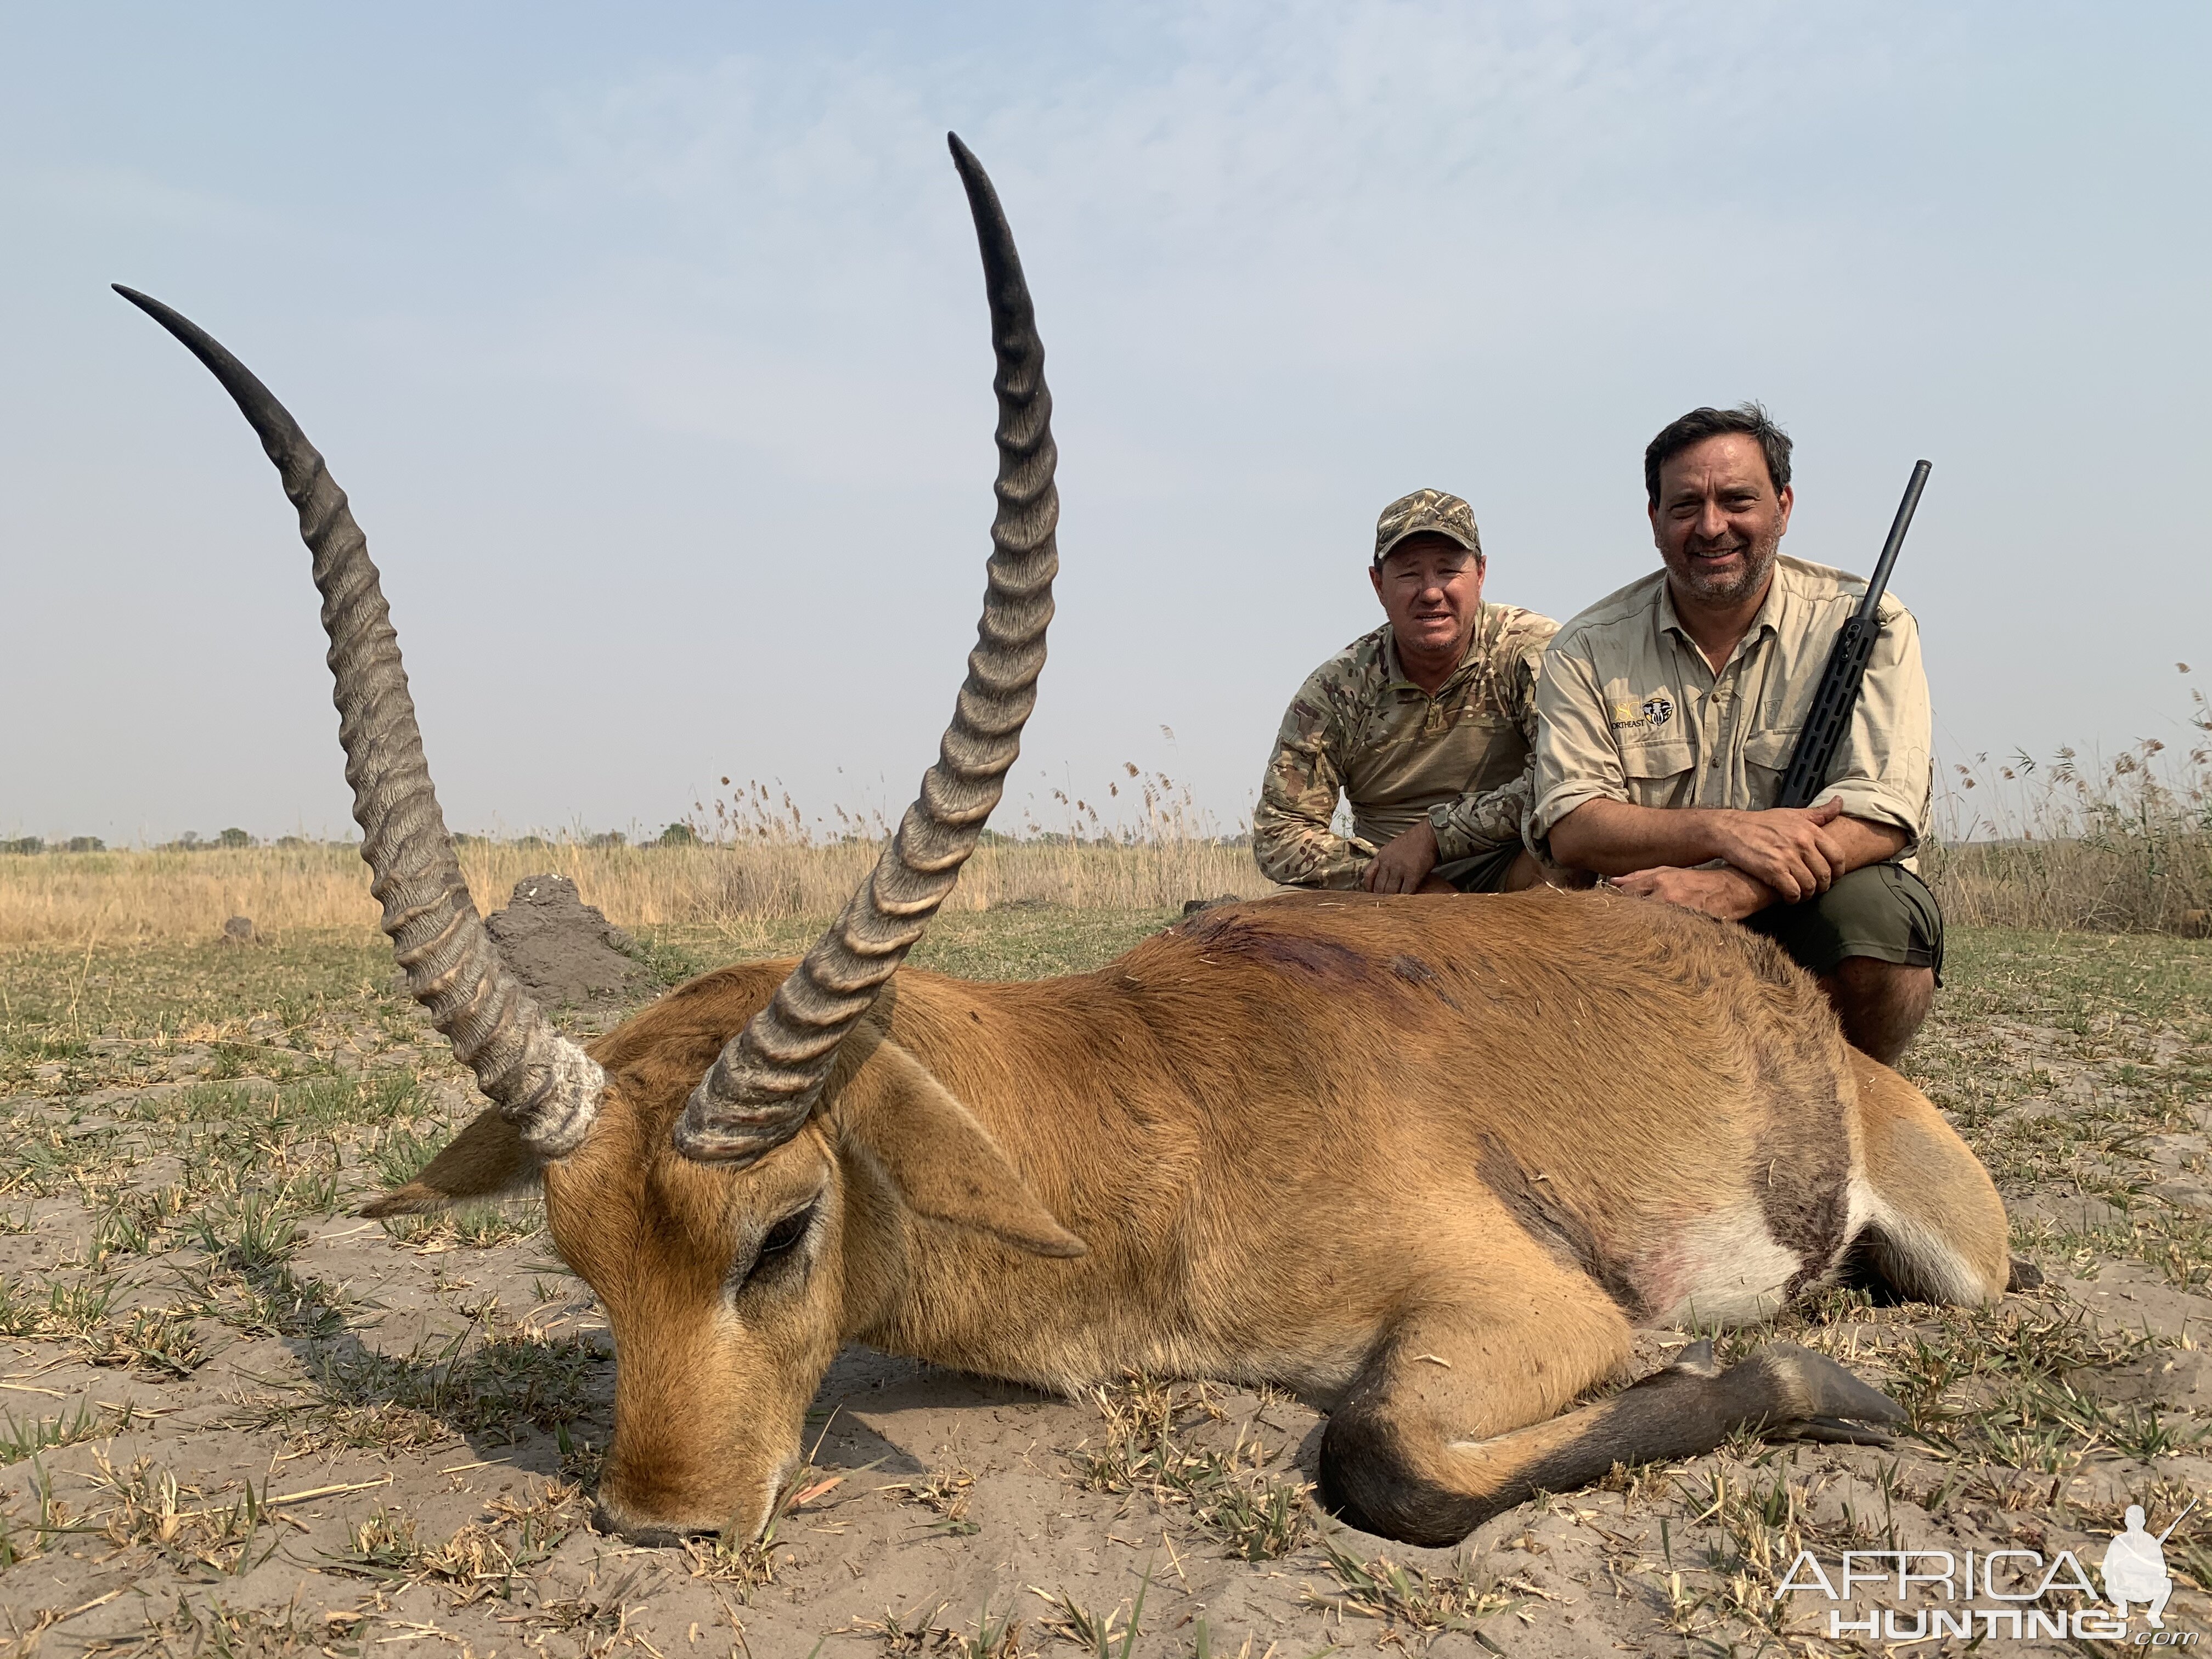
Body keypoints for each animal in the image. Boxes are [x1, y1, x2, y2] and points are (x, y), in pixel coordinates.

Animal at [129, 136, 2017, 1557]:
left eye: (779, 1236)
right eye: (576, 1256)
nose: (663, 1520)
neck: (1145, 1106)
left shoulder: (1539, 1316)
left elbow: (1381, 1460)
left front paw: (1823, 1392)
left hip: (1962, 1256)